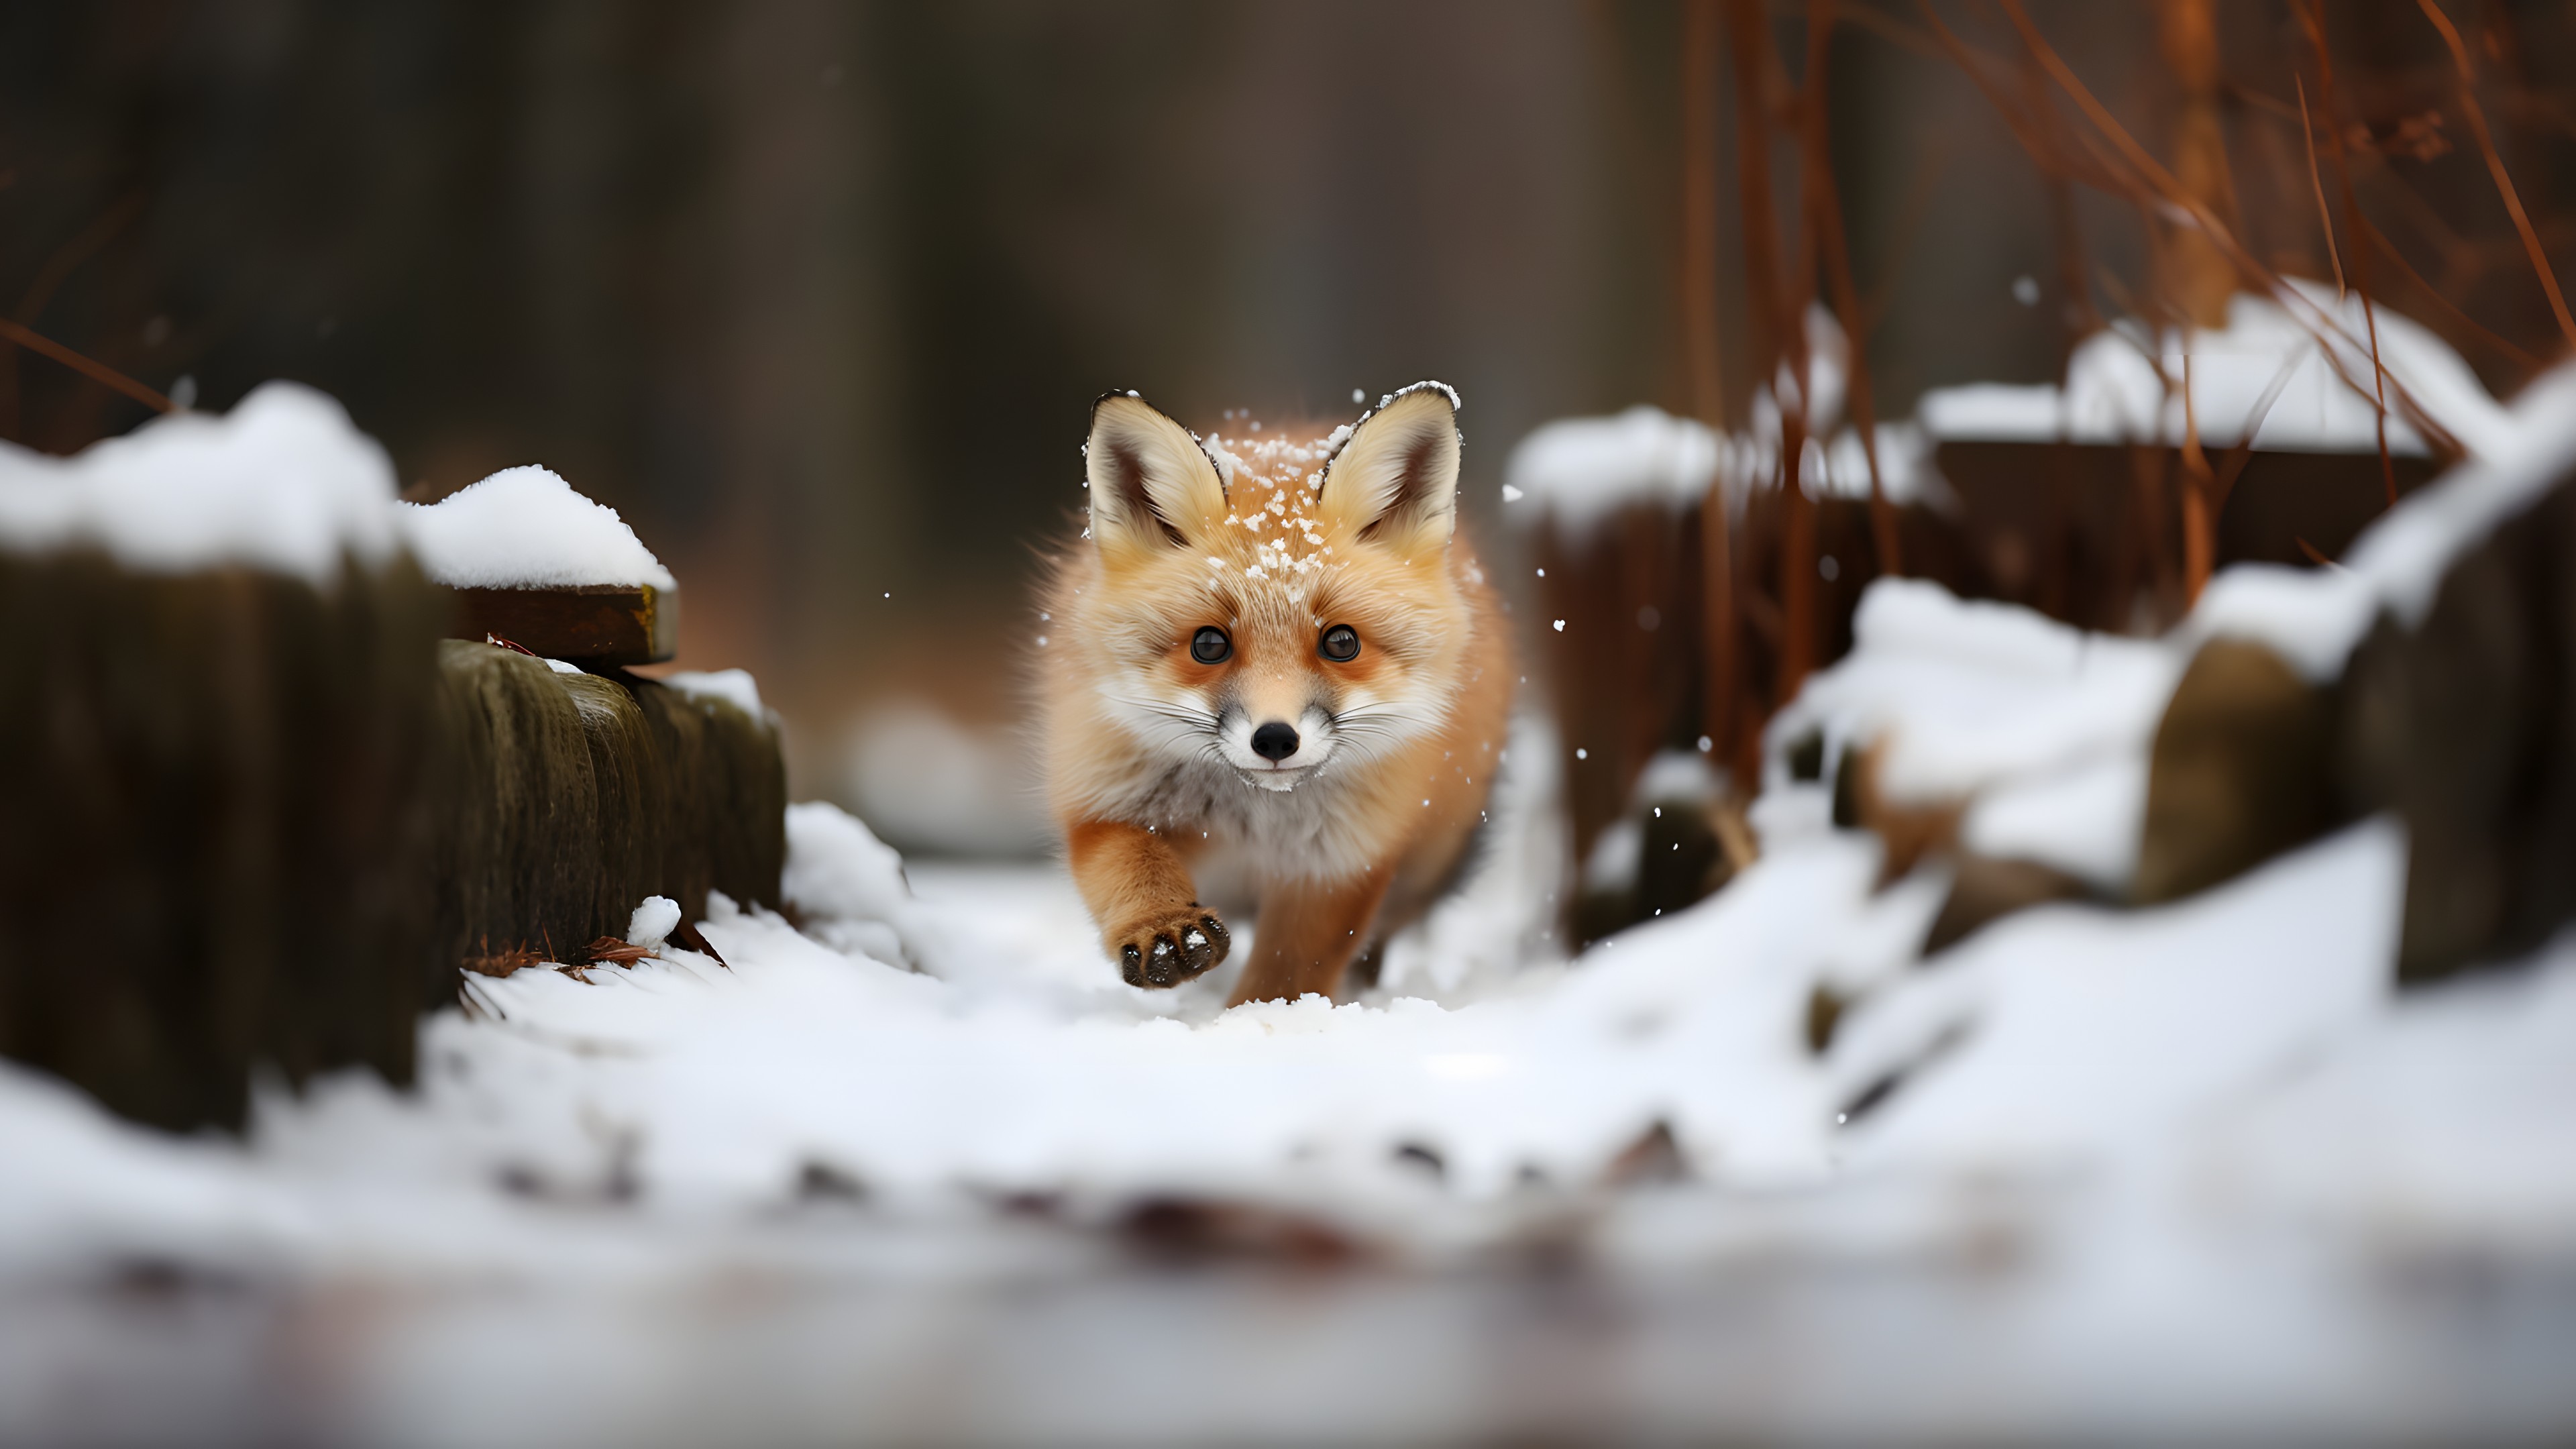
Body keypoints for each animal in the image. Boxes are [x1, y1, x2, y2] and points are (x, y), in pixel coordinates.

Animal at [1035, 378, 1504, 1000]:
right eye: (1209, 644)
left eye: (1341, 643)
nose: (1276, 739)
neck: (1254, 819)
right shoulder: (1103, 795)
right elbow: (1127, 867)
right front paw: (1161, 927)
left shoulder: (1341, 863)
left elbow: (1287, 973)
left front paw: (1261, 1017)